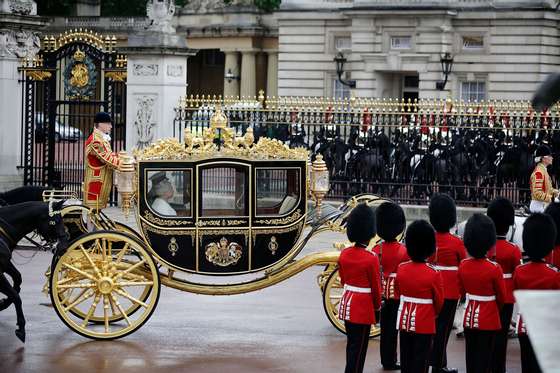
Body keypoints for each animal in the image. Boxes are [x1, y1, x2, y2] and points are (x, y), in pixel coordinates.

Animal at [0, 199, 69, 342]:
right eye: (54, 221)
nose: (65, 243)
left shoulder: (6, 264)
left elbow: (17, 281)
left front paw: (3, 303)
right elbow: (16, 295)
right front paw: (21, 327)